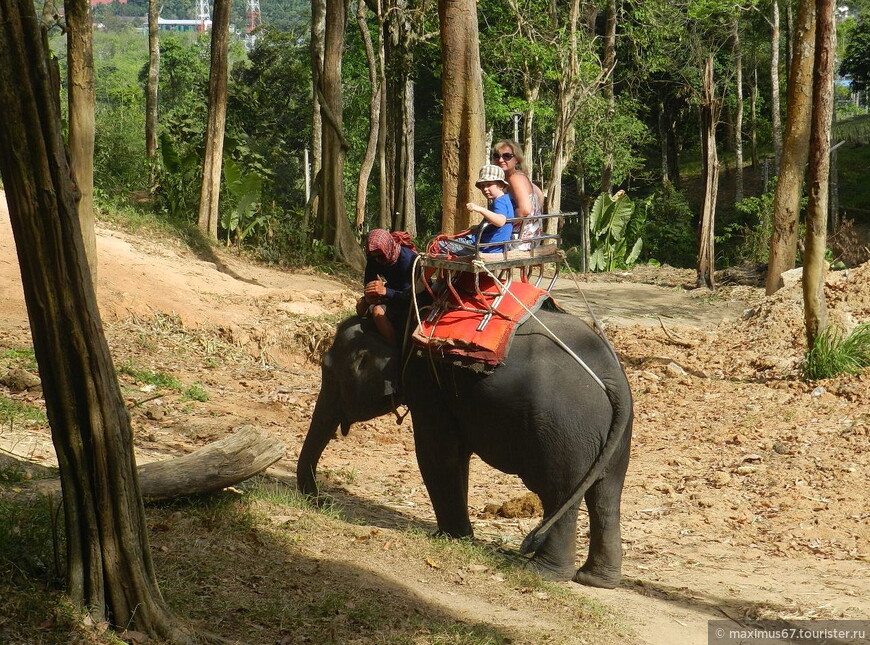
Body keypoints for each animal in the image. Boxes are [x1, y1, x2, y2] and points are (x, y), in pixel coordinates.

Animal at [298, 306, 632, 588]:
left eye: (328, 370)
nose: (321, 501)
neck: (400, 318)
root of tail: (612, 376)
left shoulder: (427, 381)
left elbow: (435, 453)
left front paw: (449, 537)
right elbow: (457, 456)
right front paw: (455, 536)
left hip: (562, 431)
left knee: (559, 494)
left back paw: (542, 573)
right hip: (613, 434)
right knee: (606, 495)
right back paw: (595, 580)